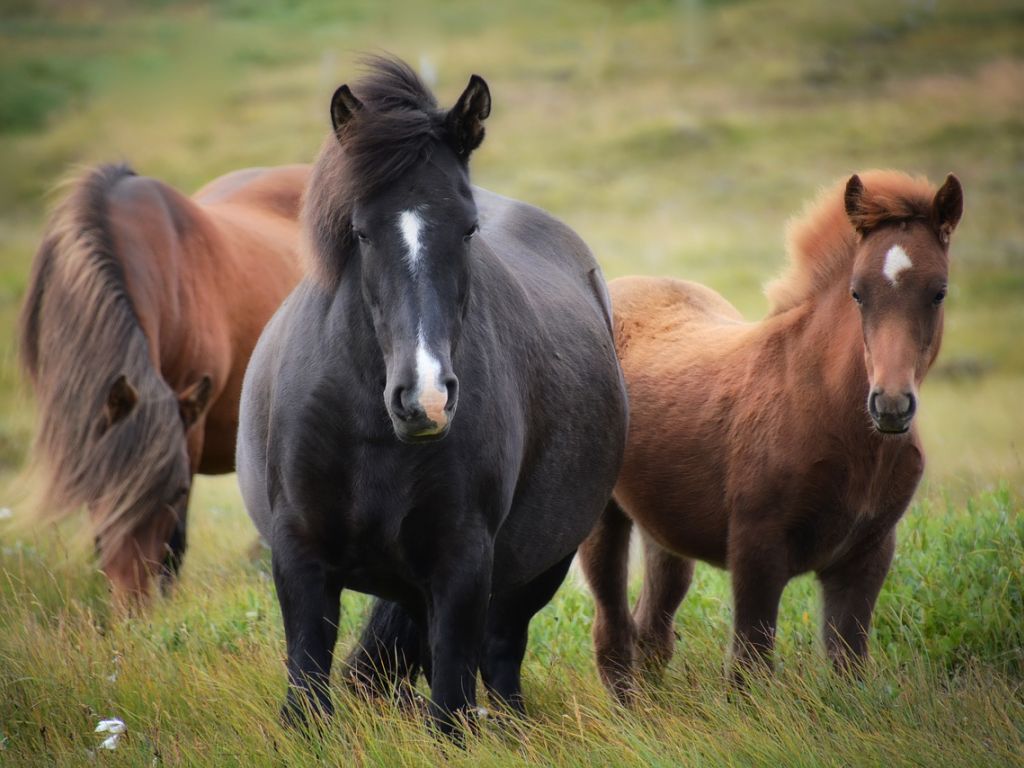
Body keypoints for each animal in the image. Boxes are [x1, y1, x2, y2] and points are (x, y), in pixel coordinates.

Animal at [235, 57, 626, 737]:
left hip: (539, 567)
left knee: (500, 655)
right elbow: (307, 688)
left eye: (468, 229)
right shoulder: (299, 555)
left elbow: (450, 703)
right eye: (361, 232)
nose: (426, 399)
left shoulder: (463, 562)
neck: (369, 429)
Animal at [581, 171, 962, 700]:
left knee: (651, 628)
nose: (890, 405)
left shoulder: (867, 554)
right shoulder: (756, 548)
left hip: (664, 528)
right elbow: (749, 666)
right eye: (857, 292)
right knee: (612, 629)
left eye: (939, 292)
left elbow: (848, 664)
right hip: (601, 518)